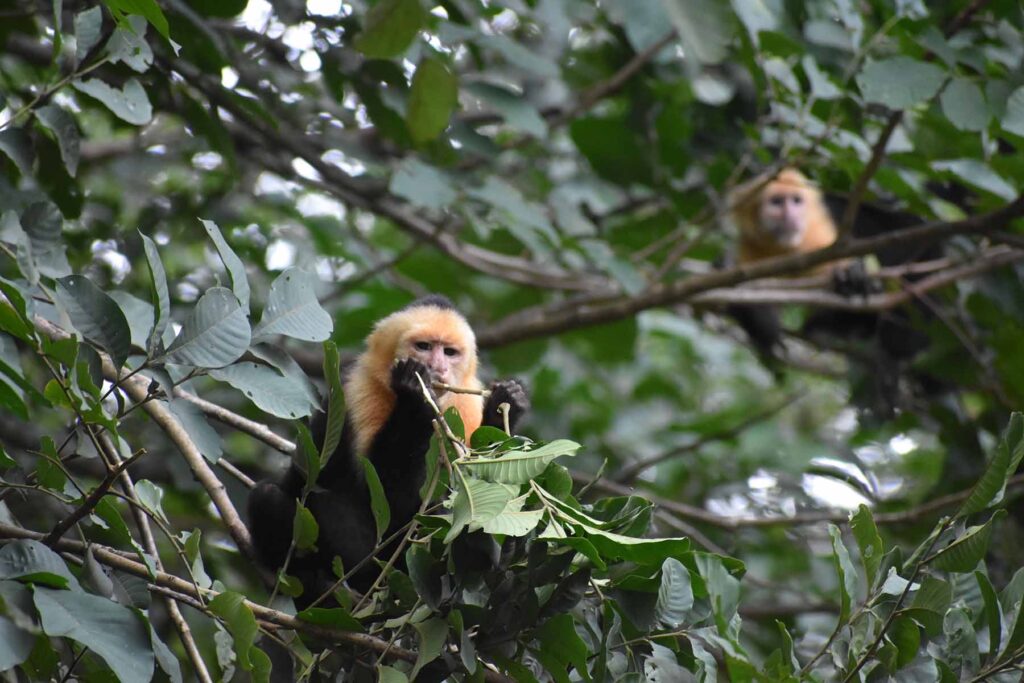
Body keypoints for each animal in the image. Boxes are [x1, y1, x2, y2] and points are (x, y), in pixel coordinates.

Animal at [247, 295, 529, 600]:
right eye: (424, 347)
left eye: (450, 352)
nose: (439, 368)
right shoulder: (359, 390)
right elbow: (388, 494)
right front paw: (414, 392)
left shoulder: (464, 403)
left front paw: (507, 402)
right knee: (270, 496)